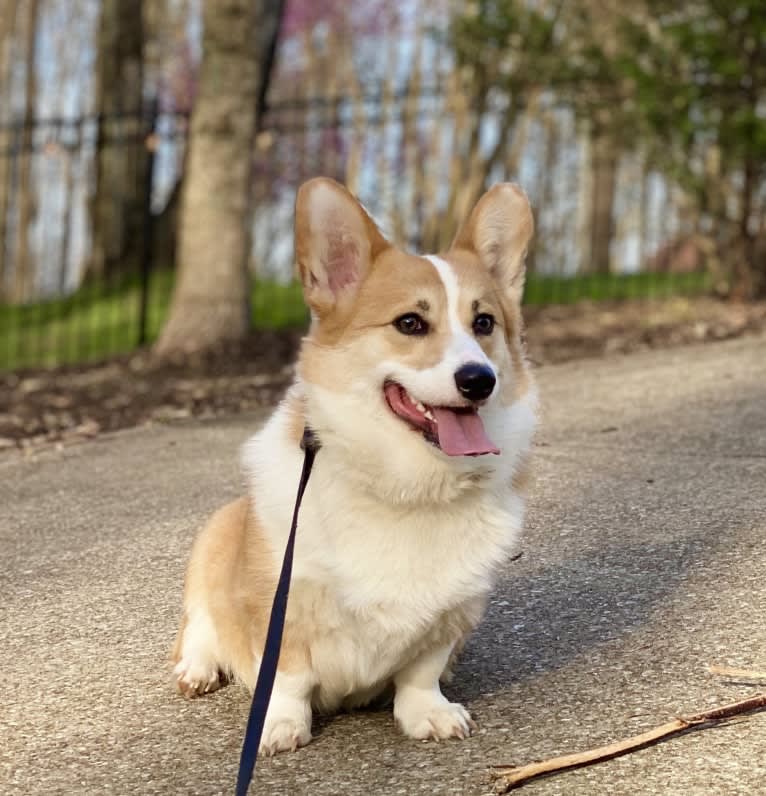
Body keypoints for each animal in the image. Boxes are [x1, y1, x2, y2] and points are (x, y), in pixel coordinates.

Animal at [172, 177, 536, 756]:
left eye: (484, 323)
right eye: (410, 323)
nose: (480, 380)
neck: (408, 488)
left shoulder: (454, 612)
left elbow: (421, 672)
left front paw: (427, 713)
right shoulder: (280, 605)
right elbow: (288, 677)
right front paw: (279, 725)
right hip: (215, 539)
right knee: (201, 626)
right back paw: (198, 668)